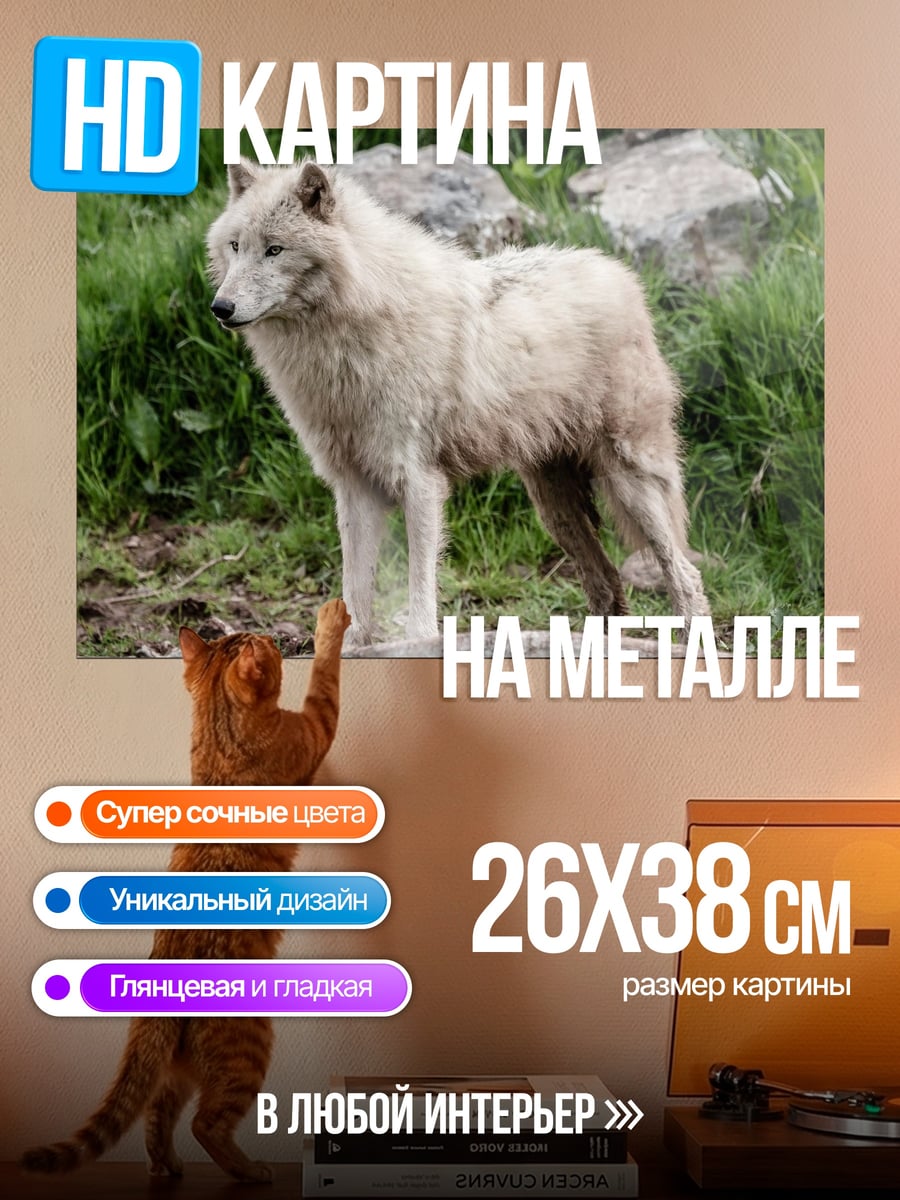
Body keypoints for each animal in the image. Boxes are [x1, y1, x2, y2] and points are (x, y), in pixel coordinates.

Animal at [208, 159, 709, 645]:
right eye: (235, 246)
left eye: (274, 250)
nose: (220, 307)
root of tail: (618, 272)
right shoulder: (352, 487)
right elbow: (355, 597)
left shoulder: (420, 482)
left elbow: (419, 594)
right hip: (554, 507)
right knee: (605, 581)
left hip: (629, 483)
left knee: (685, 573)